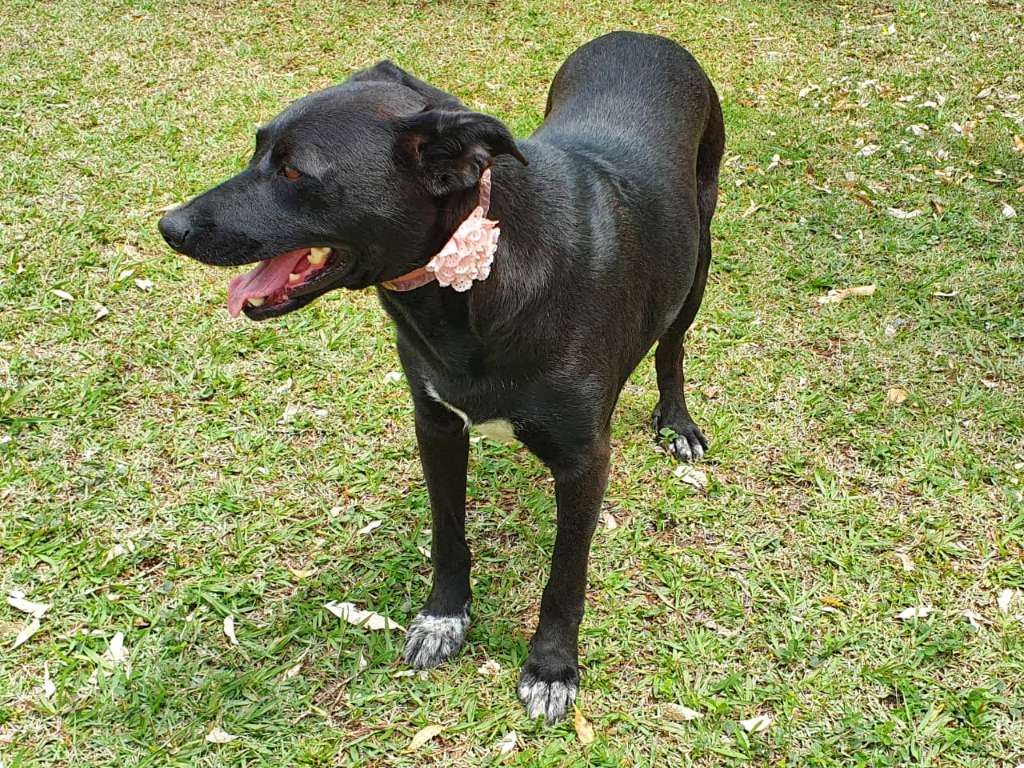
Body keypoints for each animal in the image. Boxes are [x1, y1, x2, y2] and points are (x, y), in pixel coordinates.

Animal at [159, 31, 724, 723]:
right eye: (258, 147)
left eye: (294, 172)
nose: (170, 227)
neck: (476, 274)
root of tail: (642, 36)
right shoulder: (436, 424)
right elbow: (448, 531)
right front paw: (443, 618)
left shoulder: (585, 459)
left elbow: (566, 575)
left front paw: (552, 667)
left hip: (697, 255)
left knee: (672, 346)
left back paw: (678, 421)